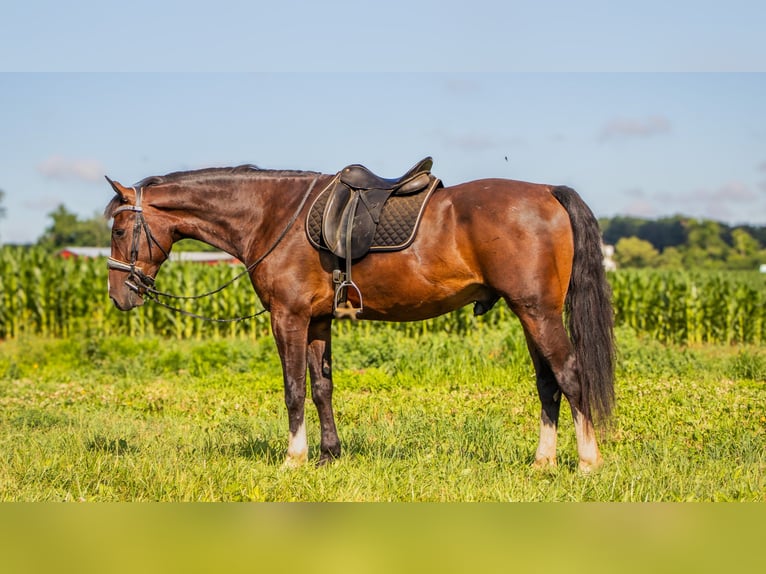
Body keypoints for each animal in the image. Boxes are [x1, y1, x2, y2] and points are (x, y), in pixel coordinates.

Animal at [105, 162, 616, 472]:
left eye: (120, 229)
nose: (118, 295)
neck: (272, 216)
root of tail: (547, 193)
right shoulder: (317, 321)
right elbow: (322, 388)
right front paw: (329, 455)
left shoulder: (287, 318)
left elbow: (293, 389)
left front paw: (294, 458)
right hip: (528, 313)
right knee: (547, 383)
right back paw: (543, 461)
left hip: (538, 312)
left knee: (570, 375)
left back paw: (587, 462)